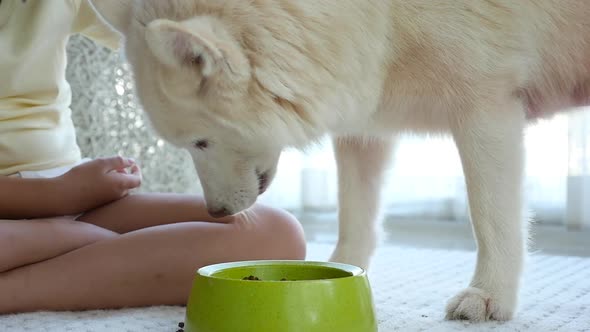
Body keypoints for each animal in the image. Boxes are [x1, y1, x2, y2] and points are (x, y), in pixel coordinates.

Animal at [90, 0, 588, 322]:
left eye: (200, 142)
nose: (216, 213)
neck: (378, 17)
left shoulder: (487, 107)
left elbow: (490, 216)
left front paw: (489, 294)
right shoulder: (364, 126)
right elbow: (355, 214)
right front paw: (344, 269)